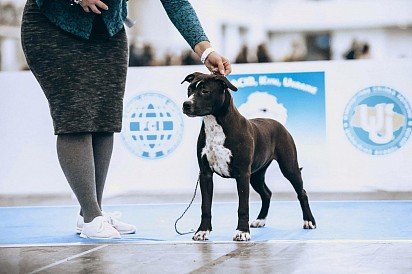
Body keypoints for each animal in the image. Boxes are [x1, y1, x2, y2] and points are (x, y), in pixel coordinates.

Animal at [180, 71, 316, 241]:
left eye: (205, 91)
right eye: (189, 90)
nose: (186, 104)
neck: (215, 124)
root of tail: (278, 124)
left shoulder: (242, 174)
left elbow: (243, 206)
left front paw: (242, 232)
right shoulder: (205, 174)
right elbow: (205, 206)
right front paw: (203, 231)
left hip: (289, 167)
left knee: (301, 193)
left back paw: (309, 221)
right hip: (256, 175)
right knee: (267, 193)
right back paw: (260, 220)